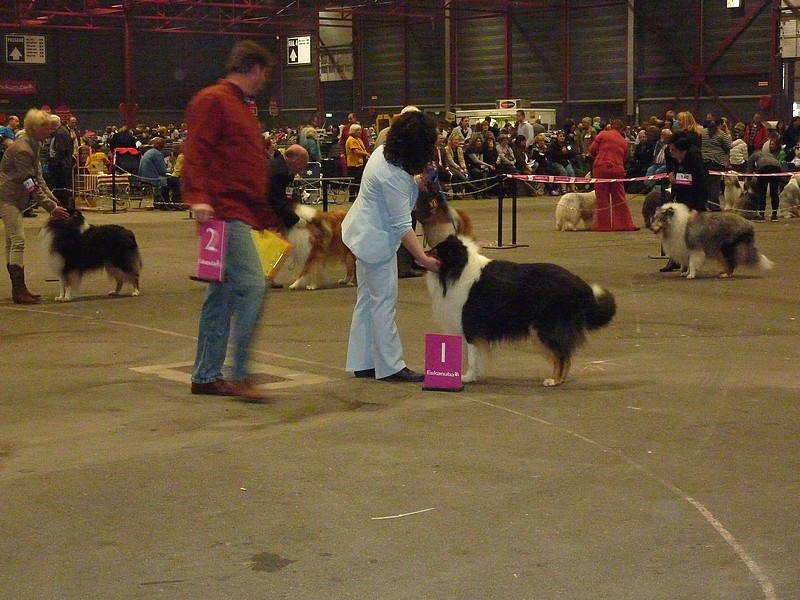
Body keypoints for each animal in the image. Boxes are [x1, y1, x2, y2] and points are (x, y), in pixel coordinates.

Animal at [428, 234, 616, 384]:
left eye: (435, 252)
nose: (422, 256)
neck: (458, 270)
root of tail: (580, 284)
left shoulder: (470, 327)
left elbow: (473, 357)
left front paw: (467, 377)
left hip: (546, 329)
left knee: (561, 355)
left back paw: (554, 380)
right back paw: (559, 379)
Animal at [648, 200, 776, 278]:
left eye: (660, 219)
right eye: (655, 218)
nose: (651, 227)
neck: (675, 223)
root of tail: (749, 224)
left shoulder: (694, 248)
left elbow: (692, 263)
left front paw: (691, 275)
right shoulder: (687, 249)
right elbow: (688, 263)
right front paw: (686, 273)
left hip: (726, 248)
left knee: (732, 263)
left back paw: (725, 274)